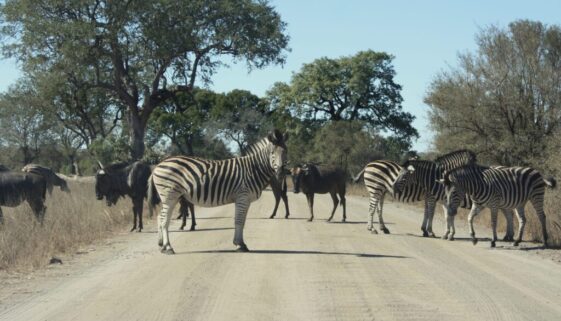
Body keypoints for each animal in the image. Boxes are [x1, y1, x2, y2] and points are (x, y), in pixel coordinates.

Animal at [148, 129, 288, 252]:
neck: (253, 169)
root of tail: (159, 164)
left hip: (172, 196)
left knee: (160, 217)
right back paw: (168, 248)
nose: (281, 173)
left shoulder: (245, 199)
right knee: (164, 220)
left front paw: (240, 243)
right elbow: (239, 221)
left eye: (285, 151)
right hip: (169, 194)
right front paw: (240, 245)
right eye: (272, 153)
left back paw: (161, 244)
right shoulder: (242, 196)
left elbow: (241, 222)